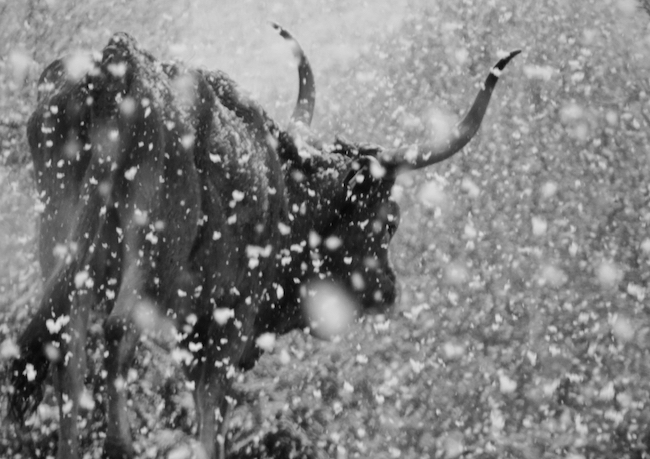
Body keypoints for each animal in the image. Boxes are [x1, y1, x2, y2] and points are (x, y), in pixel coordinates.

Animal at [8, 26, 519, 459]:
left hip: (60, 236)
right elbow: (212, 413)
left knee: (65, 340)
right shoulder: (227, 326)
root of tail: (121, 63)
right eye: (389, 221)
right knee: (116, 332)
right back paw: (121, 445)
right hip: (154, 254)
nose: (389, 289)